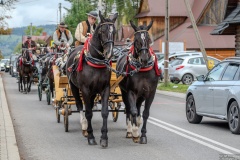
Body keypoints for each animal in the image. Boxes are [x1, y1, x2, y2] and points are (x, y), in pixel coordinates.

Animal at [65, 11, 118, 148]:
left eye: (114, 31)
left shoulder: (105, 88)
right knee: (79, 105)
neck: (96, 62)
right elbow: (88, 112)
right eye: (102, 31)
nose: (110, 53)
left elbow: (104, 112)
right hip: (74, 86)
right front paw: (91, 137)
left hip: (93, 92)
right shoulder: (85, 89)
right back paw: (84, 126)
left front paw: (104, 138)